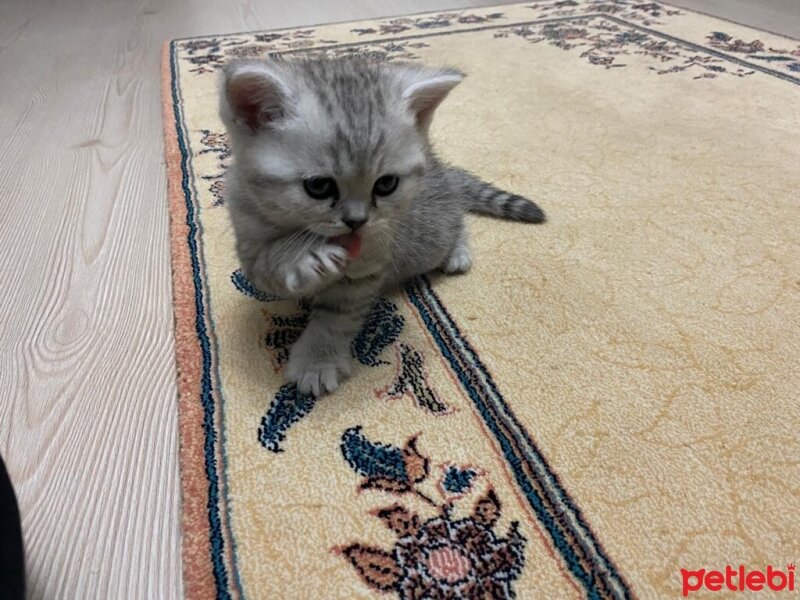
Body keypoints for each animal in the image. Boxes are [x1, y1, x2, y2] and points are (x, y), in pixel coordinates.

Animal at [219, 55, 544, 394]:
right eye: (319, 187)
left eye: (386, 184)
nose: (356, 221)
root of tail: (439, 167)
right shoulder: (249, 247)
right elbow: (270, 262)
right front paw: (301, 255)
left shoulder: (369, 264)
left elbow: (336, 317)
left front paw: (318, 360)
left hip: (429, 234)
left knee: (456, 216)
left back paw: (458, 250)